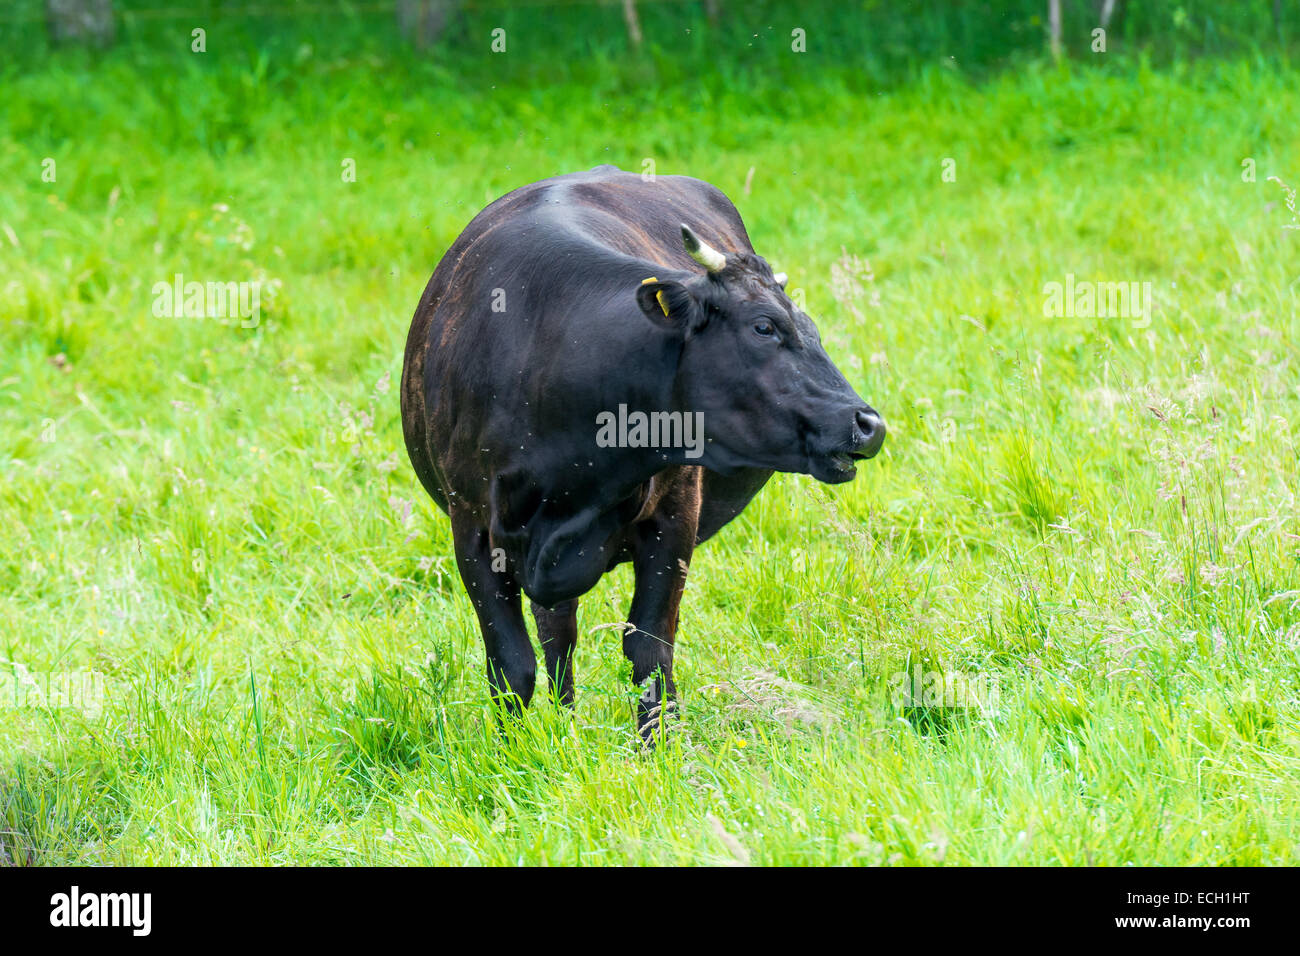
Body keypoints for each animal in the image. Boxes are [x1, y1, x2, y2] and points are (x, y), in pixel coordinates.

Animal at [400, 165, 885, 742]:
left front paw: (659, 749)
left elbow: (649, 650)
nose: (868, 424)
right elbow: (511, 664)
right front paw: (510, 751)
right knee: (557, 635)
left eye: (811, 328)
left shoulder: (673, 517)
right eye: (765, 326)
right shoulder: (471, 527)